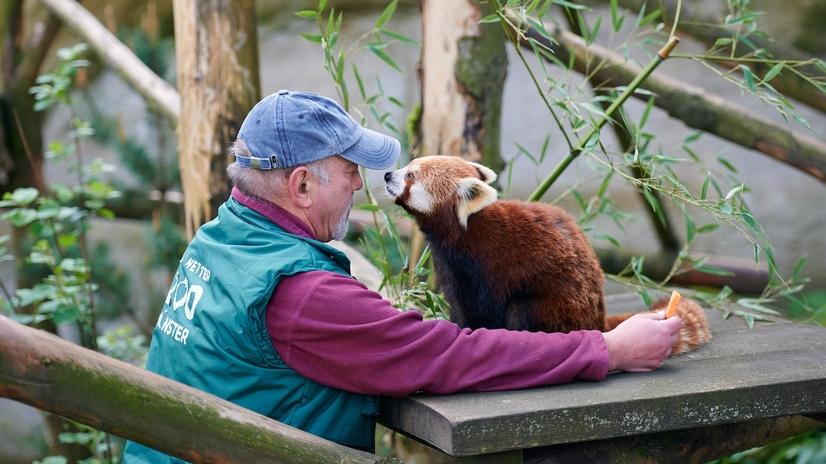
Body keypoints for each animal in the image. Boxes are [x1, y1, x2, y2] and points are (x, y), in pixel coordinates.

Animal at [384, 155, 710, 355]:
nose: (388, 175)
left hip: (554, 305)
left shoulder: (484, 266)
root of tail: (597, 320)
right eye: (407, 167)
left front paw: (469, 332)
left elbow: (480, 309)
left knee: (523, 312)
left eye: (410, 175)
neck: (465, 229)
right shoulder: (450, 266)